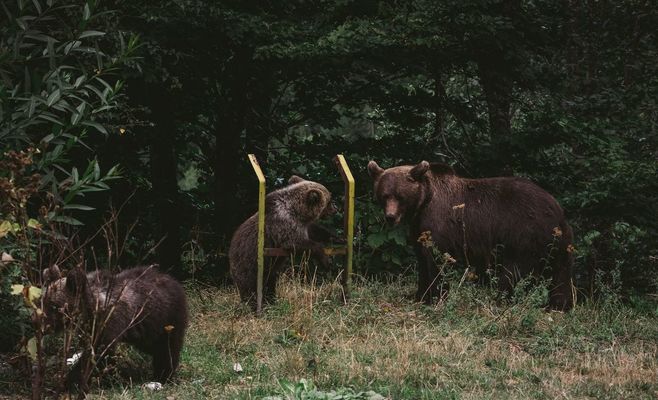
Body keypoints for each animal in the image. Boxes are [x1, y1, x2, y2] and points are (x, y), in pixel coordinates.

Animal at [41, 264, 188, 388]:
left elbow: (100, 352)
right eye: (43, 302)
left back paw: (162, 377)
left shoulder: (108, 321)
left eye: (54, 305)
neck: (90, 307)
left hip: (166, 318)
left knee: (167, 349)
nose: (43, 327)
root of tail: (173, 280)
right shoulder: (88, 328)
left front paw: (71, 381)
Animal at [229, 175, 337, 310]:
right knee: (250, 287)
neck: (297, 211)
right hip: (248, 264)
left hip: (269, 270)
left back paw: (271, 300)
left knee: (270, 283)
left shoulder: (302, 225)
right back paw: (254, 305)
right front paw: (326, 260)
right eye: (329, 200)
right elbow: (295, 243)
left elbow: (314, 231)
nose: (335, 208)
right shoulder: (283, 223)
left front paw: (337, 237)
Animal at [367, 160, 574, 311]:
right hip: (558, 243)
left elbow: (436, 260)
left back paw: (499, 300)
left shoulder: (437, 222)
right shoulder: (418, 228)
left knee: (512, 272)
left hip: (524, 234)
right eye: (384, 195)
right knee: (560, 273)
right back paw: (559, 305)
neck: (423, 202)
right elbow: (422, 259)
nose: (390, 217)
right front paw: (419, 295)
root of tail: (557, 209)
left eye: (400, 196)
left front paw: (435, 297)